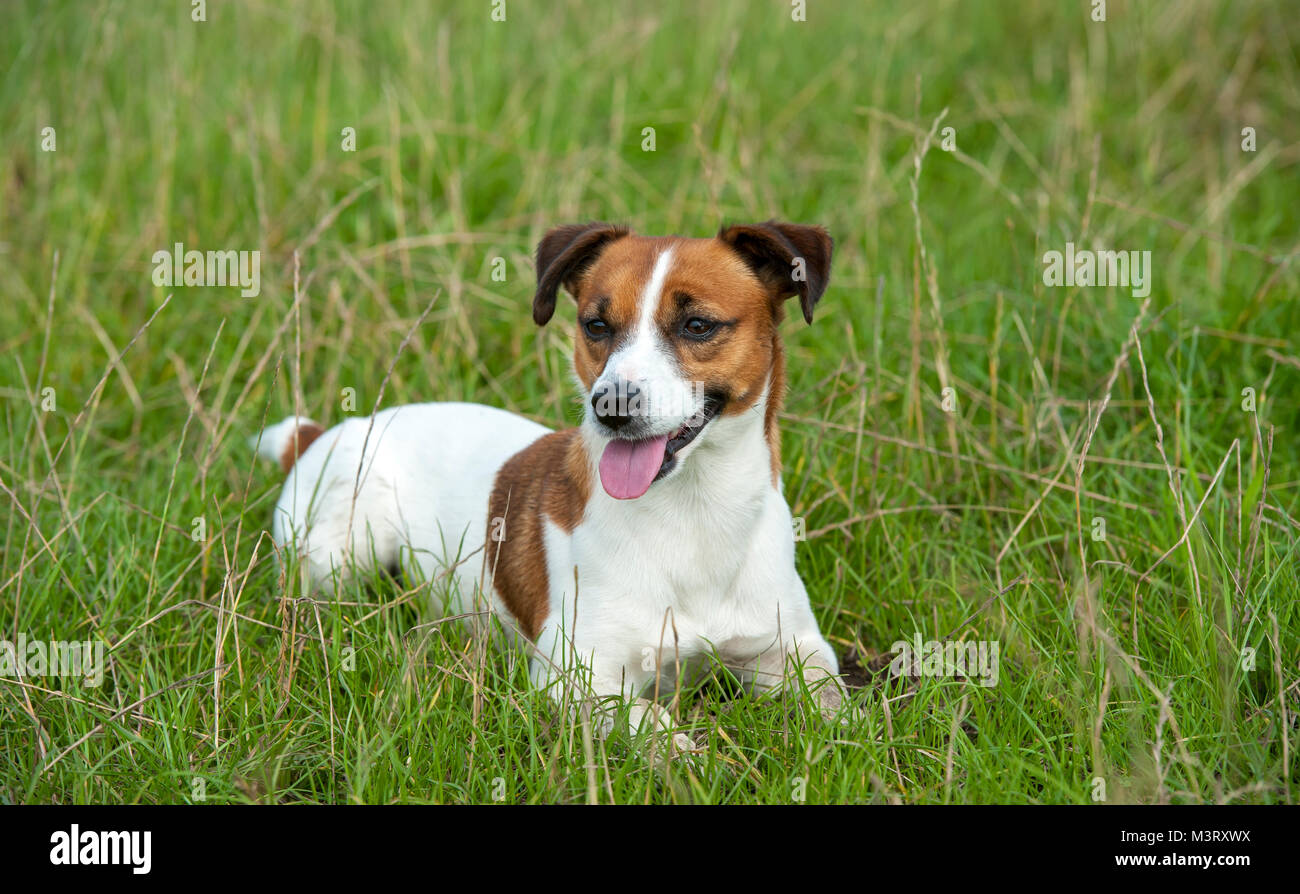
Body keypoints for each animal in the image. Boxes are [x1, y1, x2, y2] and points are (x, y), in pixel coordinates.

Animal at [252, 222, 847, 748]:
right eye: (596, 326)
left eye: (697, 325)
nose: (611, 406)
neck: (695, 518)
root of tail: (330, 431)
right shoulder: (576, 676)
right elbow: (652, 725)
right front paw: (687, 756)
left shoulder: (794, 649)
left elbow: (838, 705)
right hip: (338, 556)